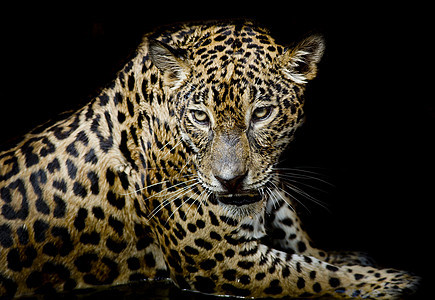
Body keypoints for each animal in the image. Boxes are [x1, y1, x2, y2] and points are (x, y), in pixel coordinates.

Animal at [0, 19, 422, 298]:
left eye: (261, 113)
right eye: (201, 117)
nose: (230, 180)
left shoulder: (269, 196)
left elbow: (310, 250)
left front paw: (351, 256)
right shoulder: (220, 258)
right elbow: (319, 276)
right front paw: (394, 282)